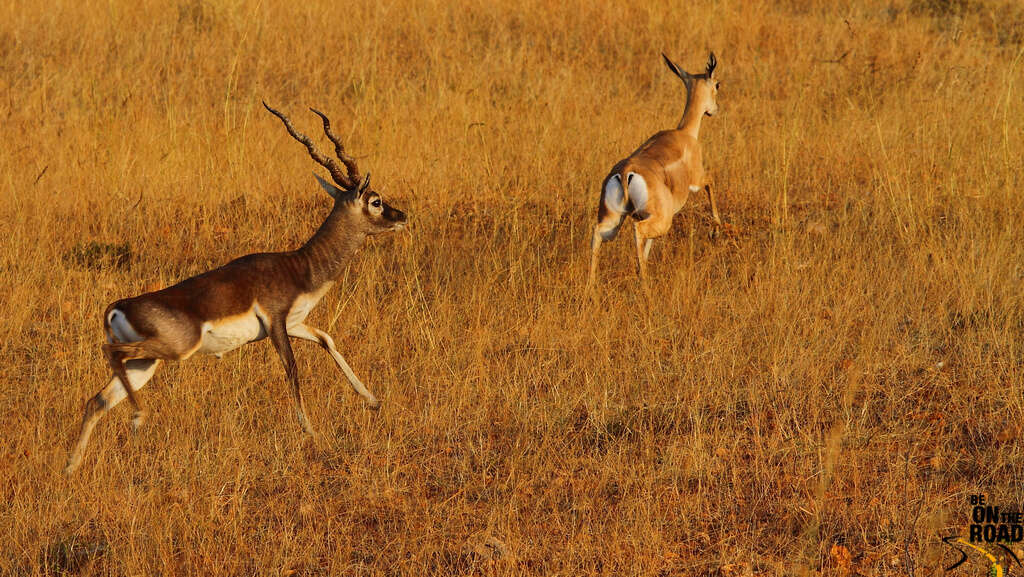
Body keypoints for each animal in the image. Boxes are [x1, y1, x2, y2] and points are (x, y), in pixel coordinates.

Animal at [61, 102, 407, 473]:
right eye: (375, 201)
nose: (401, 216)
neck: (298, 266)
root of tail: (118, 307)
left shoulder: (295, 322)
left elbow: (327, 339)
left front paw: (372, 400)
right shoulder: (276, 323)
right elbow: (293, 371)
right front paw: (312, 433)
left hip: (145, 364)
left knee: (97, 399)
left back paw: (71, 466)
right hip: (174, 349)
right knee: (109, 354)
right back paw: (138, 419)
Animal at [589, 52, 724, 289]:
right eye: (717, 84)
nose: (714, 110)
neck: (685, 133)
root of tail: (625, 171)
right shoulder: (697, 180)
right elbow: (711, 182)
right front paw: (715, 231)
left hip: (613, 221)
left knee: (598, 232)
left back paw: (591, 286)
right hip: (660, 219)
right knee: (638, 231)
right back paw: (644, 283)